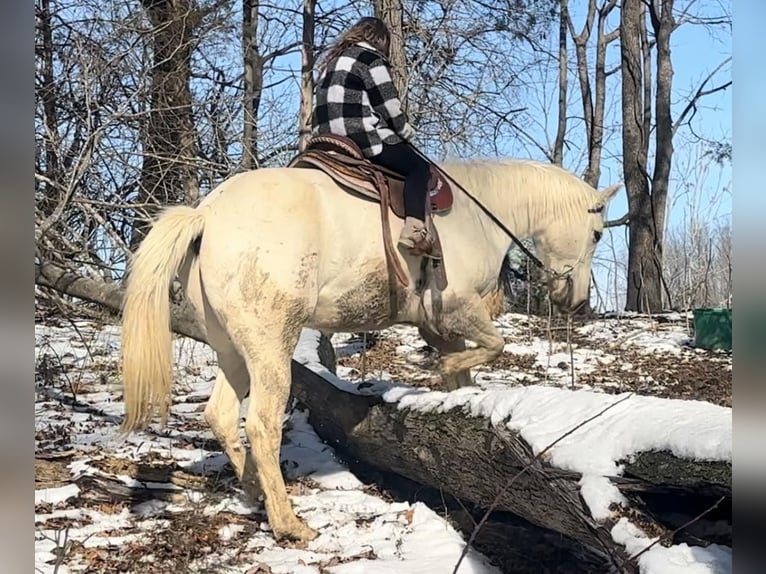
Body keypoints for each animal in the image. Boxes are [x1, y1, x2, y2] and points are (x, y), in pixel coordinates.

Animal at [121, 158, 624, 544]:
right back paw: (288, 523)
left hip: (232, 350)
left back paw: (255, 491)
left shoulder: (440, 323)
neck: (479, 212)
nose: (576, 302)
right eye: (598, 233)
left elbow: (463, 377)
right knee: (261, 424)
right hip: (269, 348)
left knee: (221, 415)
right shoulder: (457, 308)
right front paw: (442, 367)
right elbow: (491, 345)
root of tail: (207, 214)